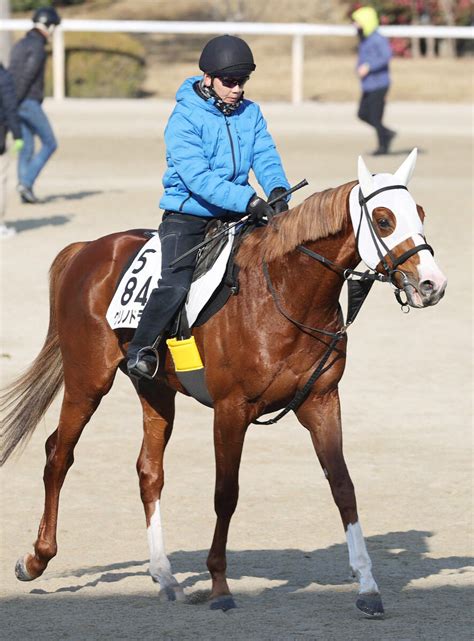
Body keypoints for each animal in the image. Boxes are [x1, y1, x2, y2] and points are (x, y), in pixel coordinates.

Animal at [0, 150, 446, 616]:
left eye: (420, 213)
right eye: (383, 220)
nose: (432, 284)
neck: (283, 293)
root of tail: (86, 249)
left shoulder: (322, 401)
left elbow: (343, 486)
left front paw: (367, 586)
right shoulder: (232, 410)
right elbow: (225, 493)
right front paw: (219, 585)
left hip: (155, 390)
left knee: (149, 471)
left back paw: (165, 576)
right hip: (87, 380)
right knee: (58, 454)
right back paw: (35, 559)